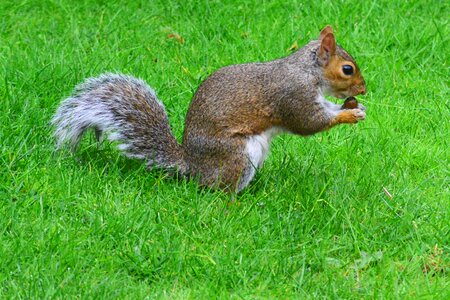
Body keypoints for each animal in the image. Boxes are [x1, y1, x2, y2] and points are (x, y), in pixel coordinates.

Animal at [52, 27, 368, 193]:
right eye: (347, 69)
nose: (364, 89)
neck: (307, 71)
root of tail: (193, 166)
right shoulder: (294, 97)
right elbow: (309, 123)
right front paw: (349, 114)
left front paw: (353, 106)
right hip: (237, 154)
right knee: (218, 189)